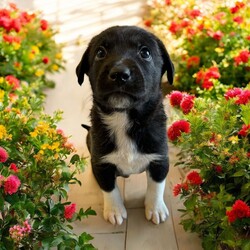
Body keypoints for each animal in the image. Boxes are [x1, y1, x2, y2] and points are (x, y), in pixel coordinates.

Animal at [76, 25, 174, 225]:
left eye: (145, 52)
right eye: (100, 53)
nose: (120, 74)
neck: (124, 117)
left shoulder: (160, 158)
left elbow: (156, 185)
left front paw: (155, 208)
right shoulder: (102, 163)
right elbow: (108, 188)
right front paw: (114, 210)